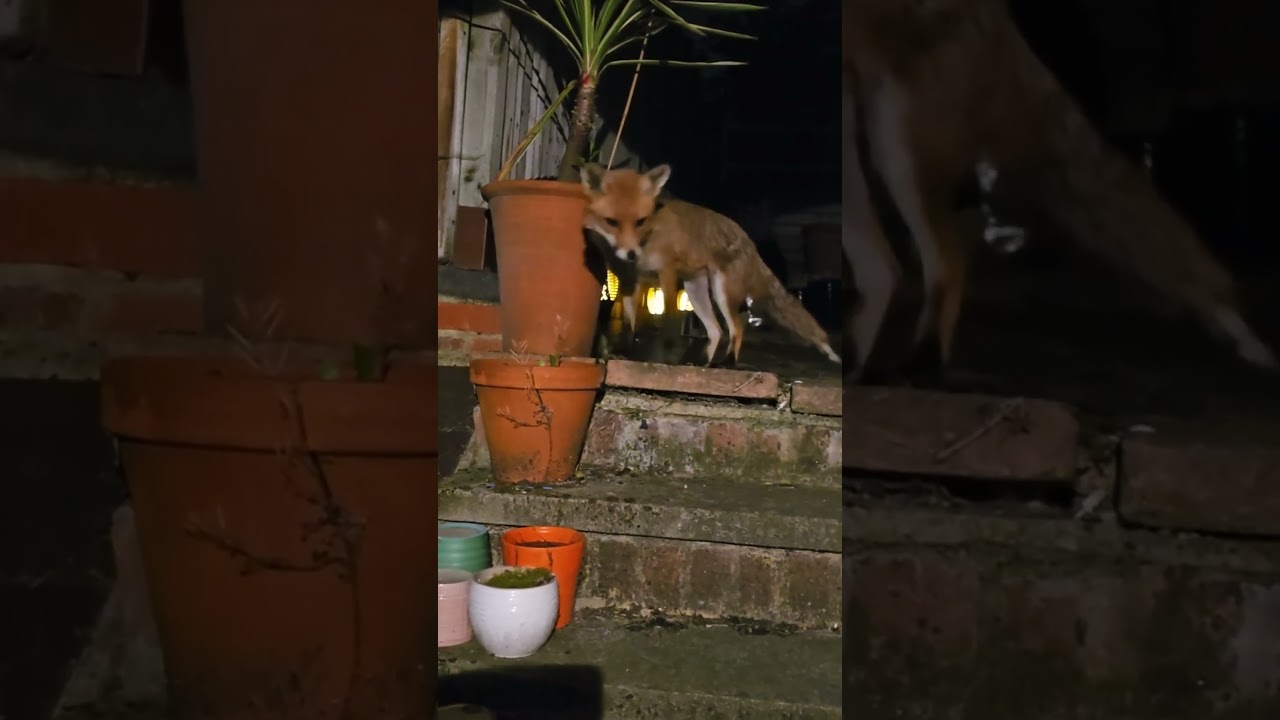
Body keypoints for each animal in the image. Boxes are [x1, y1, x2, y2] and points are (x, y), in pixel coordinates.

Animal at [579, 162, 841, 367]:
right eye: (611, 222)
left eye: (641, 221)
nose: (631, 253)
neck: (648, 240)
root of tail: (747, 238)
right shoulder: (630, 280)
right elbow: (628, 325)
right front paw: (625, 353)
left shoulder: (667, 272)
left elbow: (668, 321)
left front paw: (663, 355)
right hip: (696, 291)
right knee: (716, 330)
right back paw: (701, 362)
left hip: (722, 292)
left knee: (736, 328)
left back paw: (727, 363)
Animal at [844, 0, 1277, 381]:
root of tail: (999, 13)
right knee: (884, 269)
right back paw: (856, 369)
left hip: (897, 143)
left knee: (936, 265)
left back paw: (912, 368)